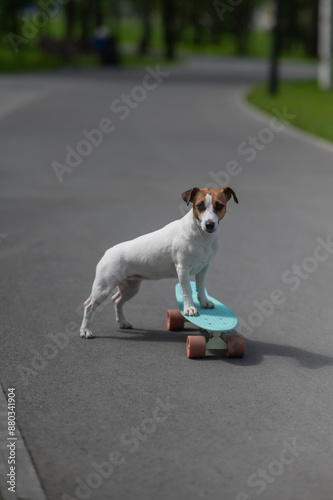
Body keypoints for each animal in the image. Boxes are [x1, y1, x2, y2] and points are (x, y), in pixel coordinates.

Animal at [79, 188, 237, 340]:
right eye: (200, 206)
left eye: (219, 206)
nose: (209, 225)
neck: (201, 235)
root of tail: (107, 252)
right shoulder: (183, 269)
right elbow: (187, 290)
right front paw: (190, 309)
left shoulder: (204, 268)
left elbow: (201, 286)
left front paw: (204, 302)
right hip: (103, 287)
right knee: (88, 306)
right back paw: (85, 331)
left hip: (130, 287)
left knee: (117, 300)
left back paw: (122, 322)